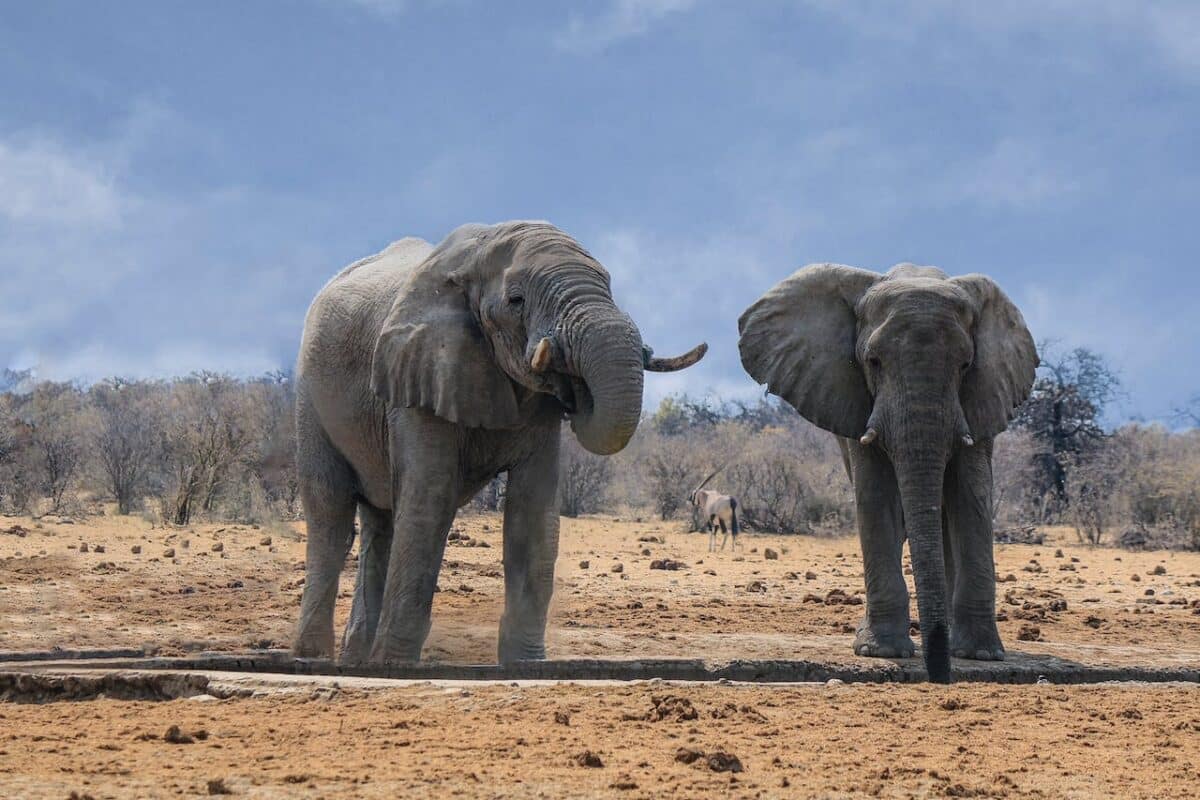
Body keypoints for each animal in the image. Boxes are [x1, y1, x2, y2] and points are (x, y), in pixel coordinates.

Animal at [290, 221, 700, 666]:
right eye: (516, 300)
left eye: (609, 286)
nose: (574, 385)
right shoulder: (417, 375)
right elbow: (430, 498)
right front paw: (395, 664)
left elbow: (533, 510)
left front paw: (526, 665)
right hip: (310, 397)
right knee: (331, 515)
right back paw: (315, 658)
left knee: (378, 526)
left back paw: (355, 660)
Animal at [734, 262, 1036, 681]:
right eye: (873, 361)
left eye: (965, 365)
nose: (939, 678)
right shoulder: (854, 399)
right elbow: (877, 497)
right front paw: (881, 653)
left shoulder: (982, 396)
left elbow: (971, 497)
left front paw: (982, 656)